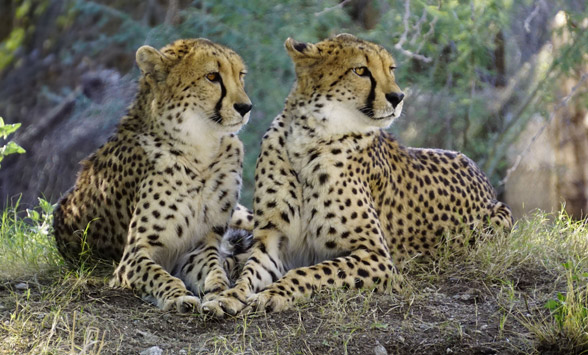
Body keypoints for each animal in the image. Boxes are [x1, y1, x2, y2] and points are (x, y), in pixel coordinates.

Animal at [55, 38, 255, 312]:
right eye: (212, 76)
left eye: (241, 75)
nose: (246, 107)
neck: (200, 150)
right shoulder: (133, 256)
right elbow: (159, 275)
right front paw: (178, 296)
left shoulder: (199, 247)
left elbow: (214, 271)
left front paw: (220, 293)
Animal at [203, 34, 516, 318]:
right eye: (361, 71)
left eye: (391, 69)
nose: (397, 97)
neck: (309, 137)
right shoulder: (272, 240)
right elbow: (250, 273)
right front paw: (228, 297)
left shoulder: (377, 257)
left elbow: (311, 271)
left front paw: (273, 294)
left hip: (496, 220)